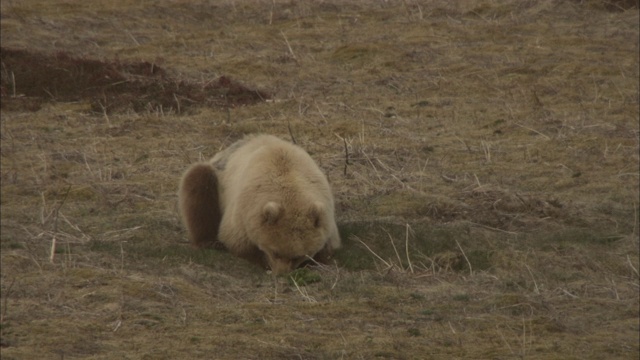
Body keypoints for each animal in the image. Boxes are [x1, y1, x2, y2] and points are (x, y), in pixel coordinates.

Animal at [178, 134, 342, 274]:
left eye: (298, 256)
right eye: (275, 252)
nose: (281, 273)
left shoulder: (326, 212)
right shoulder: (243, 210)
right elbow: (237, 241)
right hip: (217, 179)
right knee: (198, 182)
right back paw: (210, 242)